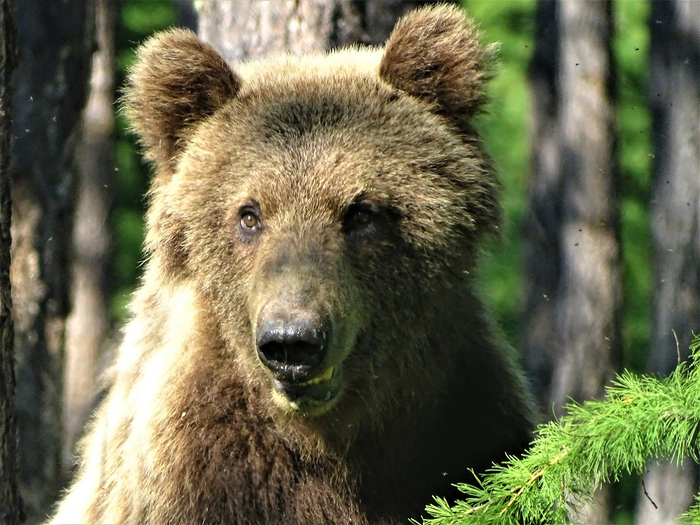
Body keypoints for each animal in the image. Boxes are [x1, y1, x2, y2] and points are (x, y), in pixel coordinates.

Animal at [50, 5, 534, 524]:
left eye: (361, 212)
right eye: (249, 214)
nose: (292, 341)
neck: (326, 439)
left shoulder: (461, 427)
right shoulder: (198, 474)